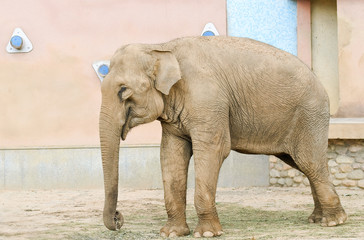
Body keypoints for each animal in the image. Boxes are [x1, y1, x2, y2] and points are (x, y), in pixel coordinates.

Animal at [99, 36, 346, 237]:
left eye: (123, 91)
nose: (118, 218)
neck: (160, 46)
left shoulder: (208, 100)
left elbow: (213, 150)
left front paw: (207, 233)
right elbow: (171, 154)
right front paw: (171, 233)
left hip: (309, 115)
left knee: (310, 162)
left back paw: (334, 222)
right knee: (303, 164)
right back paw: (317, 219)